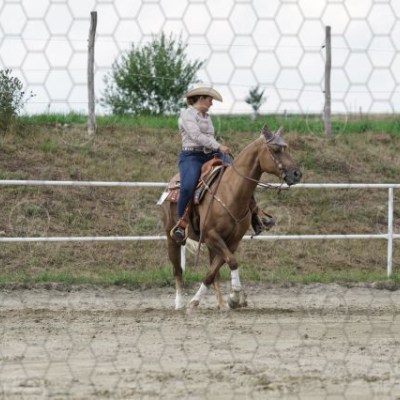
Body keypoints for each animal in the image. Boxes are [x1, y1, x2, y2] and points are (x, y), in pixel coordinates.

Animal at [160, 124, 302, 311]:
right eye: (276, 149)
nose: (297, 173)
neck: (230, 192)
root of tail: (170, 185)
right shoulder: (211, 235)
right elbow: (232, 262)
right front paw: (234, 297)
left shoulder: (231, 241)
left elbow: (214, 271)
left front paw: (228, 299)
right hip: (172, 238)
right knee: (177, 270)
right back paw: (178, 304)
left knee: (215, 274)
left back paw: (220, 304)